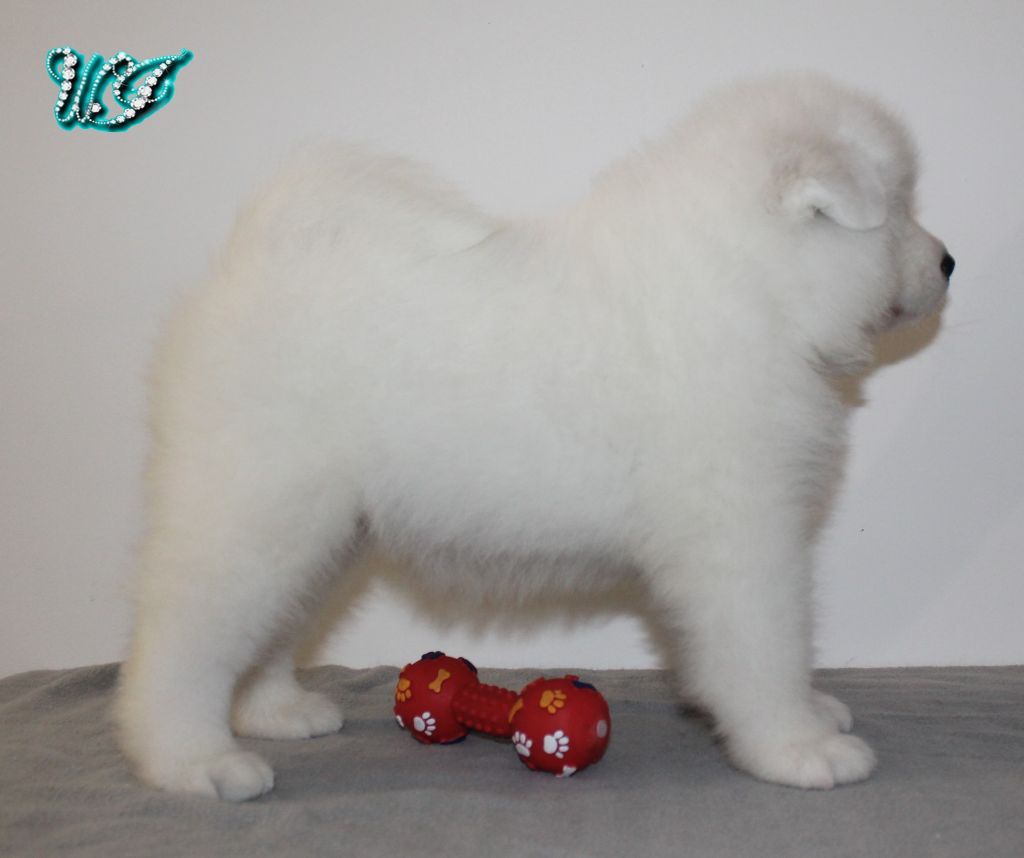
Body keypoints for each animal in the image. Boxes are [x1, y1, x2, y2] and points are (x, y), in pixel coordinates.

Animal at [115, 72, 952, 799]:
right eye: (898, 206)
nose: (948, 263)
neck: (745, 286)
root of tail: (246, 266)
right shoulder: (740, 537)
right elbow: (768, 647)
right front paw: (796, 746)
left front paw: (811, 717)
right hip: (254, 507)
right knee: (181, 638)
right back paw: (191, 758)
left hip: (320, 528)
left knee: (266, 624)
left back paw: (273, 710)